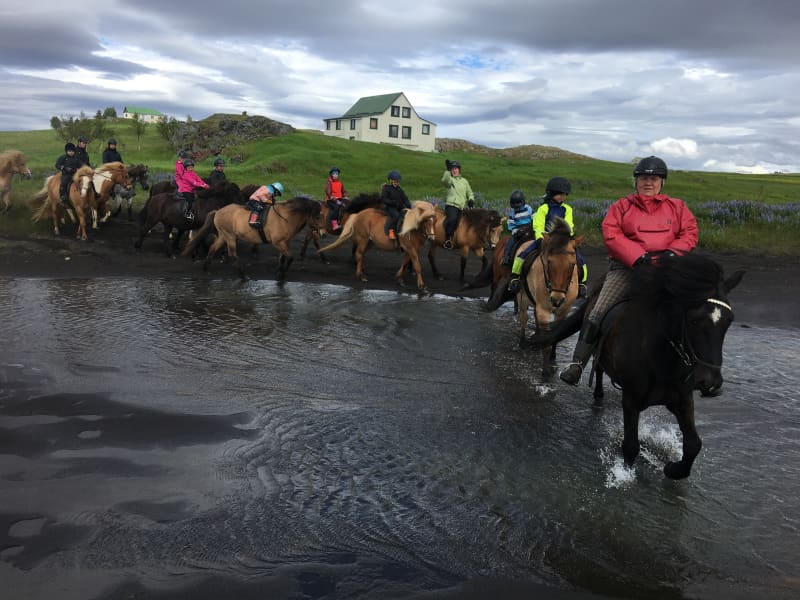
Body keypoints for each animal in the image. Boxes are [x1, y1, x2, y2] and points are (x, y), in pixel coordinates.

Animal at [528, 255, 748, 480]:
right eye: (694, 320)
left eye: (729, 321)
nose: (710, 383)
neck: (661, 357)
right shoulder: (631, 400)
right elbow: (631, 447)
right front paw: (626, 476)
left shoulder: (684, 400)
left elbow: (694, 444)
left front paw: (673, 469)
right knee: (597, 363)